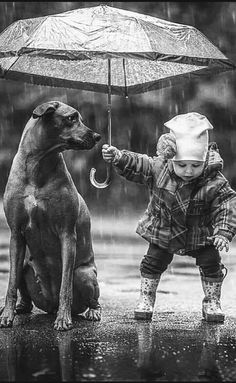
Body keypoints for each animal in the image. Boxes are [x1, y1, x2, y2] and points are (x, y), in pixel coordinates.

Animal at [0, 100, 101, 332]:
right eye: (71, 118)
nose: (98, 136)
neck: (39, 163)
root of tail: (50, 306)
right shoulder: (15, 234)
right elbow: (10, 284)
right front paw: (6, 315)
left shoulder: (67, 234)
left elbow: (65, 286)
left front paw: (64, 319)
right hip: (24, 261)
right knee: (24, 289)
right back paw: (21, 307)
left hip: (84, 274)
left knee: (90, 297)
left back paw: (91, 311)